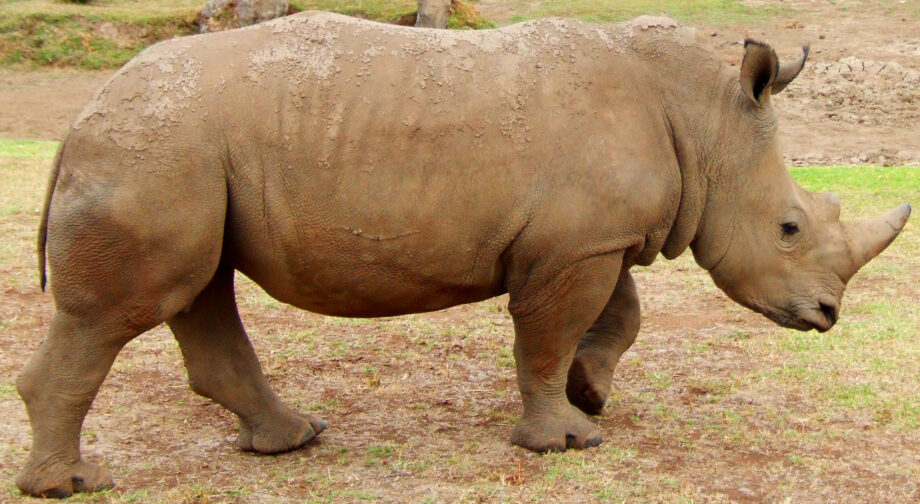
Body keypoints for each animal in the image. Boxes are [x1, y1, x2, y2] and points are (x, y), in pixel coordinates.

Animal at [15, 11, 910, 497]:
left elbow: (618, 319)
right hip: (155, 148)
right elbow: (547, 336)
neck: (707, 120)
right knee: (124, 312)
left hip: (180, 153)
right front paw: (563, 442)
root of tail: (83, 115)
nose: (828, 315)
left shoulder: (590, 238)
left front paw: (590, 395)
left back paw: (293, 439)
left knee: (199, 291)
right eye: (790, 228)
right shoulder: (575, 247)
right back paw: (71, 485)